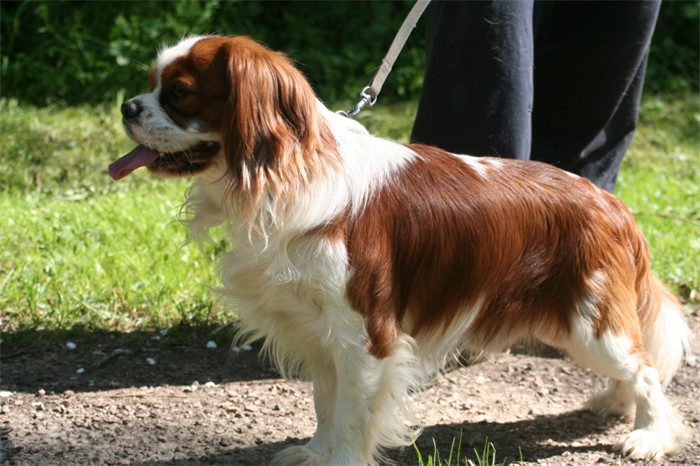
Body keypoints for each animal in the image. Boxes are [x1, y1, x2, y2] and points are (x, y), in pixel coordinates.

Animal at [108, 35, 688, 462]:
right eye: (150, 85)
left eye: (179, 92)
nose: (127, 106)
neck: (287, 174)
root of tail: (610, 203)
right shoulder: (320, 333)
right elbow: (326, 405)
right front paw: (315, 453)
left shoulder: (365, 335)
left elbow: (351, 417)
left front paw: (340, 462)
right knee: (636, 368)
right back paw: (617, 404)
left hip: (590, 323)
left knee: (645, 368)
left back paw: (648, 435)